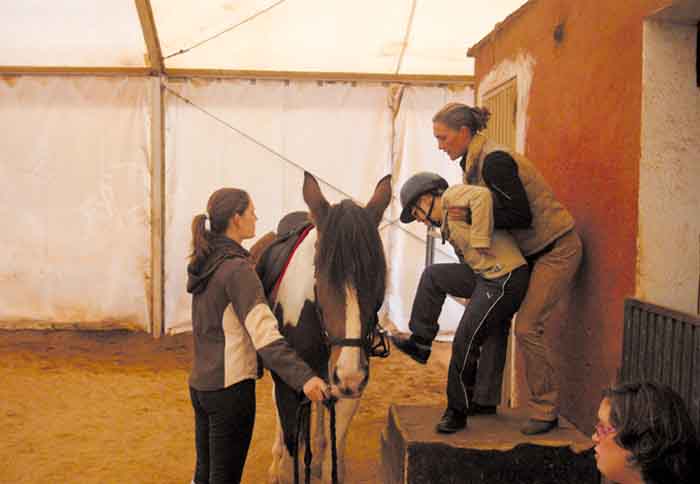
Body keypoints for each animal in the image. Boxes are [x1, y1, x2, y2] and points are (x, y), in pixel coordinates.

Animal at [253, 173, 394, 484]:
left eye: (378, 274)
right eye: (322, 274)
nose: (350, 373)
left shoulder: (346, 390)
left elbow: (333, 447)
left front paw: (326, 461)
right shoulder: (290, 386)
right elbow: (292, 450)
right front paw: (281, 465)